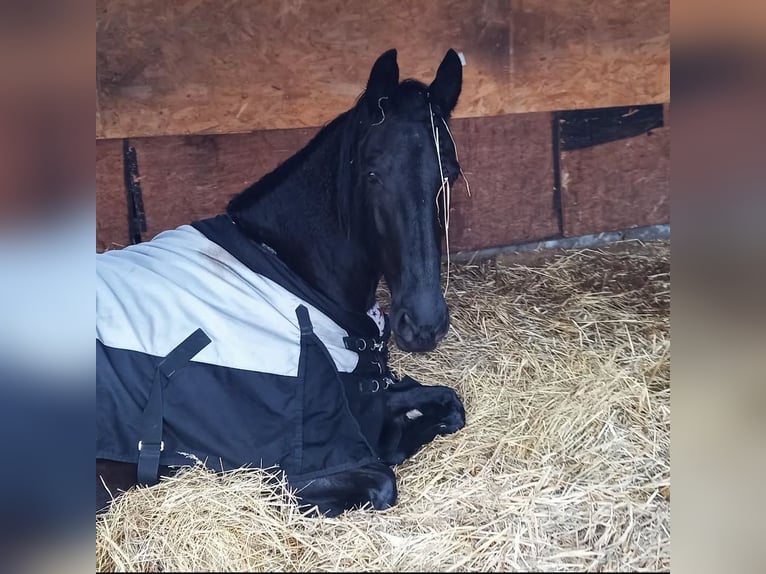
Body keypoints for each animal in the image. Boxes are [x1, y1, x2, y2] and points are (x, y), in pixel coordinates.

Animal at [97, 48, 467, 517]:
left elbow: (446, 402)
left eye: (449, 174)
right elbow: (383, 478)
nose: (423, 324)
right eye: (372, 174)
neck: (293, 277)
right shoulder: (301, 466)